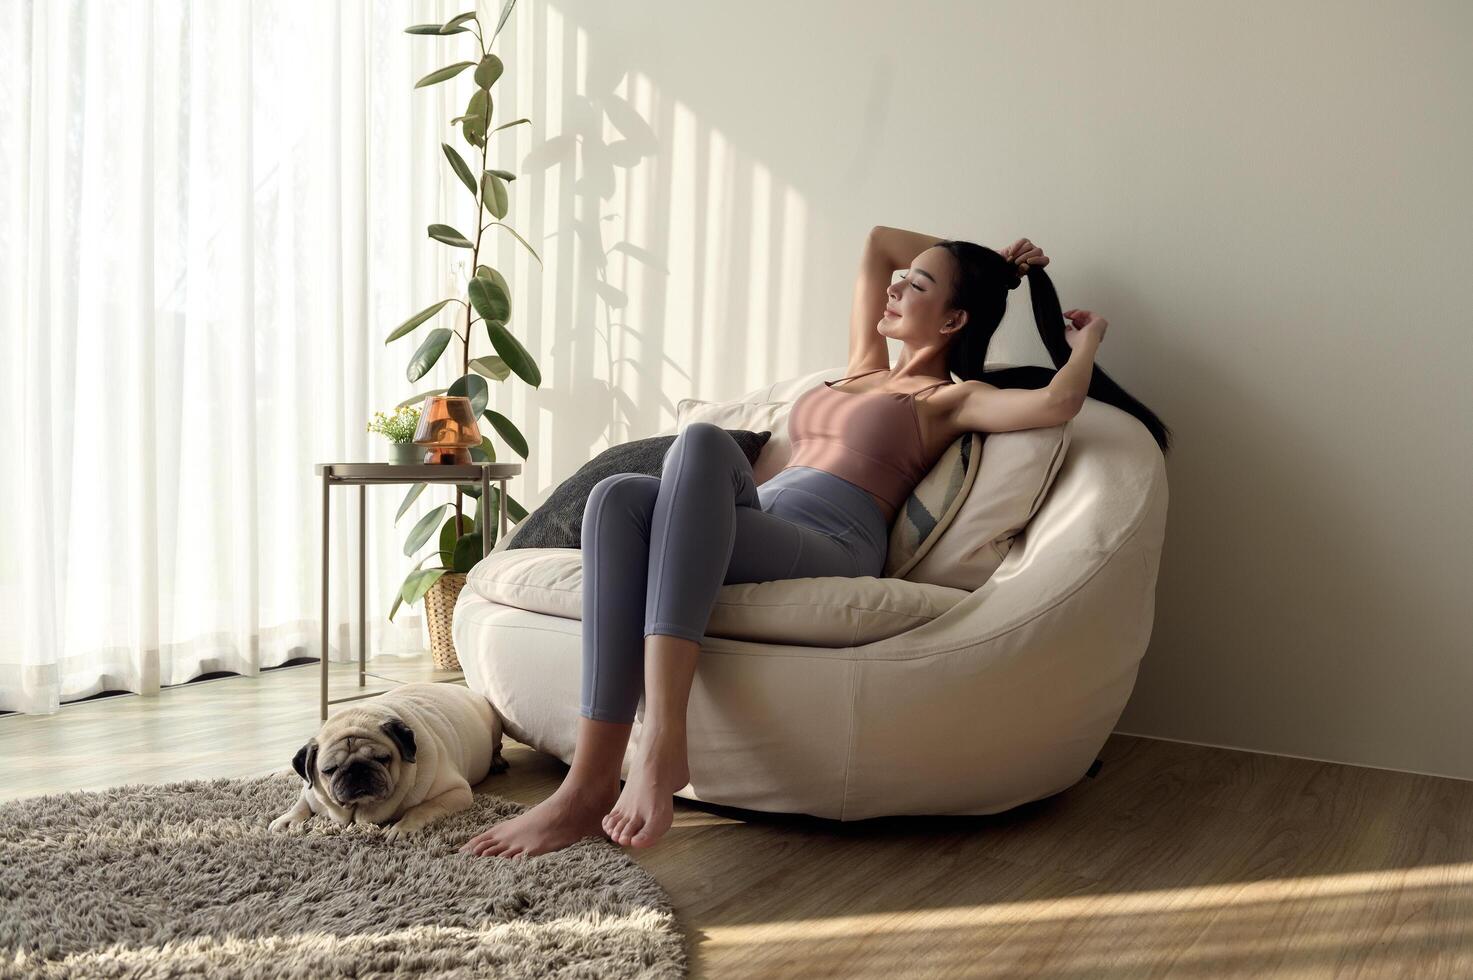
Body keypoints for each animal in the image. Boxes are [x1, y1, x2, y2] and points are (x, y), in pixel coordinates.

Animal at [268, 680, 509, 842]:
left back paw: (497, 762)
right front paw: (287, 820)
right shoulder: (311, 789)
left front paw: (402, 828)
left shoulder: (456, 792)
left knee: (497, 747)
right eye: (329, 770)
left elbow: (421, 809)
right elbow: (302, 802)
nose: (357, 770)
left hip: (495, 728)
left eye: (382, 759)